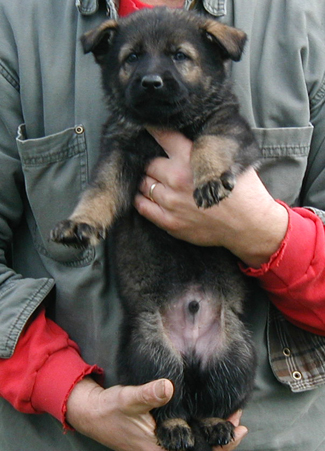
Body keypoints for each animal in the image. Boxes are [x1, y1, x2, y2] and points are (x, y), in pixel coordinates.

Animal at [52, 7, 256, 451]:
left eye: (180, 56)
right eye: (132, 58)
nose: (151, 82)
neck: (167, 122)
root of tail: (192, 353)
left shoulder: (227, 126)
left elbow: (208, 145)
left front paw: (208, 177)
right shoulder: (120, 151)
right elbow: (100, 190)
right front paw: (81, 222)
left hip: (235, 353)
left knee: (214, 397)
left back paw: (215, 423)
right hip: (152, 353)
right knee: (171, 402)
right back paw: (177, 427)